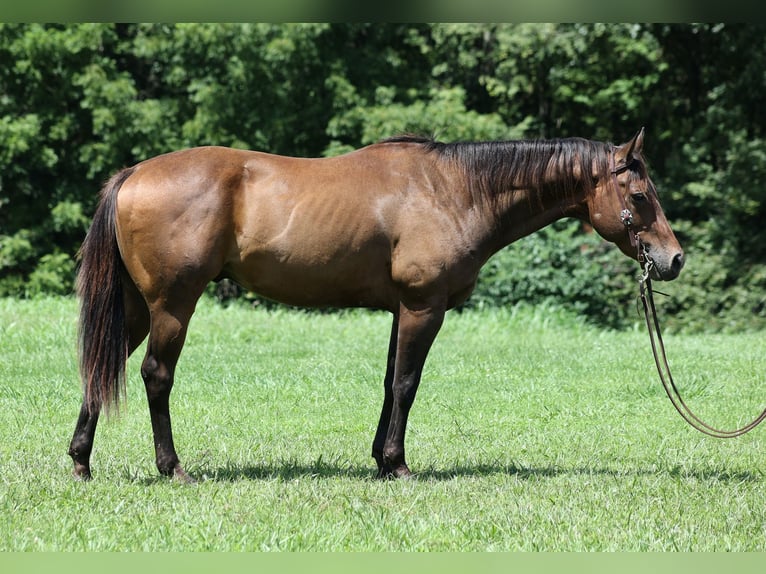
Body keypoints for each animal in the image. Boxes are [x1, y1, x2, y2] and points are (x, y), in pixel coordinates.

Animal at [69, 129, 688, 482]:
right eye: (640, 196)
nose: (674, 259)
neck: (454, 190)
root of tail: (133, 174)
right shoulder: (423, 308)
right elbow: (407, 384)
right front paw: (398, 464)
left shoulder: (400, 311)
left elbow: (390, 381)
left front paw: (379, 460)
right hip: (172, 305)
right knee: (156, 375)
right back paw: (172, 469)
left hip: (135, 308)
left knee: (102, 369)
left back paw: (80, 461)